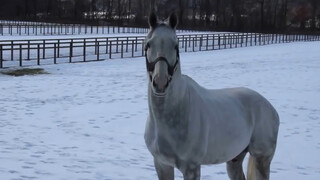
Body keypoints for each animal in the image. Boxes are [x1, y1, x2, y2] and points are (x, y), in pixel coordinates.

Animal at [144, 12, 278, 180]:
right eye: (149, 44)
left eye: (175, 46)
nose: (160, 83)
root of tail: (271, 108)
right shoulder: (162, 165)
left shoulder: (191, 168)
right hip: (235, 159)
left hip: (262, 158)